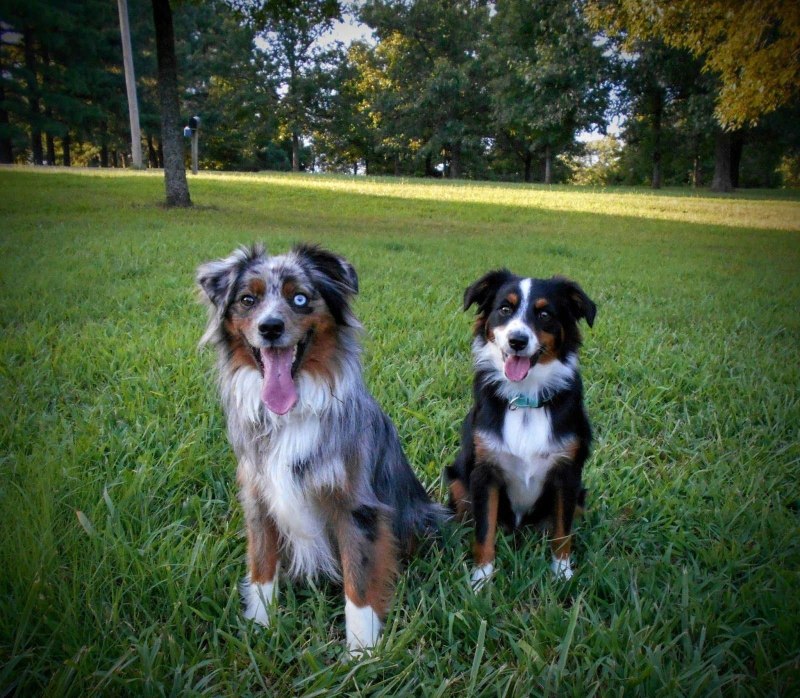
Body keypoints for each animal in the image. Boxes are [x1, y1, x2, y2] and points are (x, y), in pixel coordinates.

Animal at [197, 243, 442, 654]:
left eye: (300, 298)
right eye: (248, 300)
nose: (270, 328)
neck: (290, 413)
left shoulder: (354, 504)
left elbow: (358, 583)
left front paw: (361, 652)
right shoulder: (258, 495)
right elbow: (261, 566)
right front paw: (259, 629)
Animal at [445, 270, 596, 589]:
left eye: (545, 314)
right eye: (505, 308)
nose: (517, 340)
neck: (526, 399)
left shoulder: (567, 474)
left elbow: (562, 532)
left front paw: (562, 573)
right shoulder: (485, 472)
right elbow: (484, 531)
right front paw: (481, 579)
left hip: (580, 495)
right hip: (457, 479)